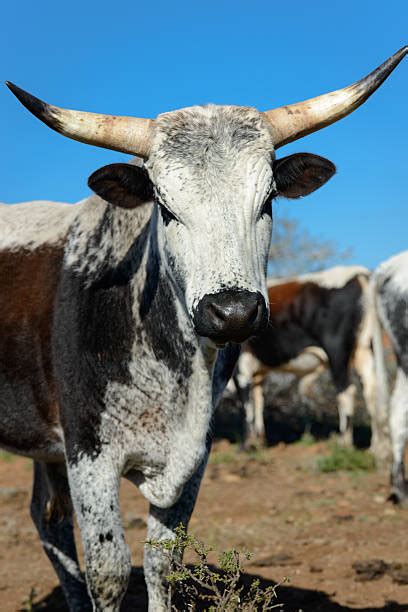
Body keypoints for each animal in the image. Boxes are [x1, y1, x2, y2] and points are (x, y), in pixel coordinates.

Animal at [233, 266, 388, 462]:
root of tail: (356, 272)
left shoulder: (240, 368)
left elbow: (246, 407)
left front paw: (244, 446)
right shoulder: (258, 372)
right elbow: (258, 400)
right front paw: (258, 440)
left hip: (337, 351)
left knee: (345, 392)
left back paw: (344, 443)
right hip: (364, 350)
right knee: (371, 392)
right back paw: (375, 447)